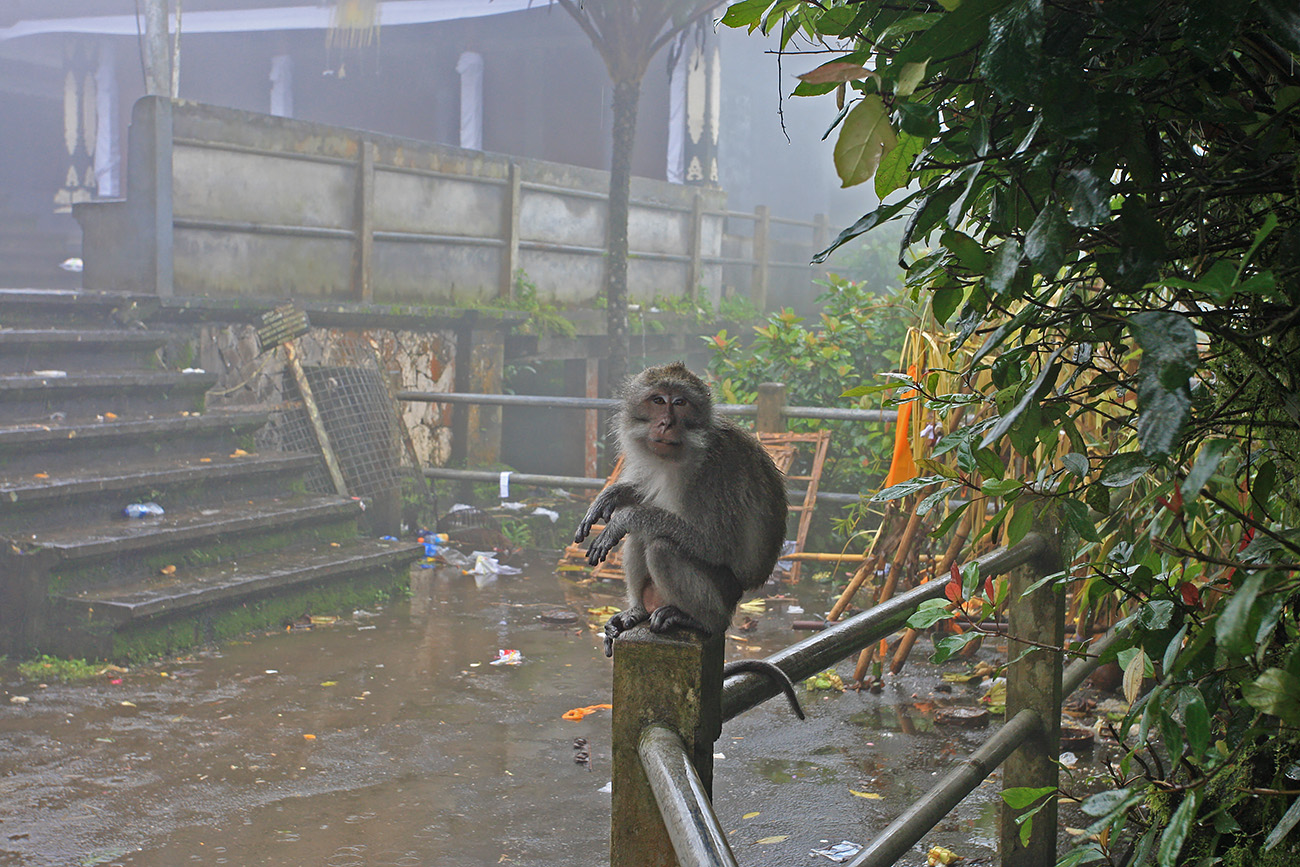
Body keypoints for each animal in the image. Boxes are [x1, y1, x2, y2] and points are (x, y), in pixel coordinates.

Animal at [577, 361, 800, 717]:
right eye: (657, 400)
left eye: (680, 403)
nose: (666, 422)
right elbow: (645, 492)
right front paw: (610, 497)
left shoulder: (713, 474)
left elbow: (716, 543)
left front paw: (622, 517)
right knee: (644, 537)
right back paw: (636, 612)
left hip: (724, 589)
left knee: (661, 546)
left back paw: (701, 620)